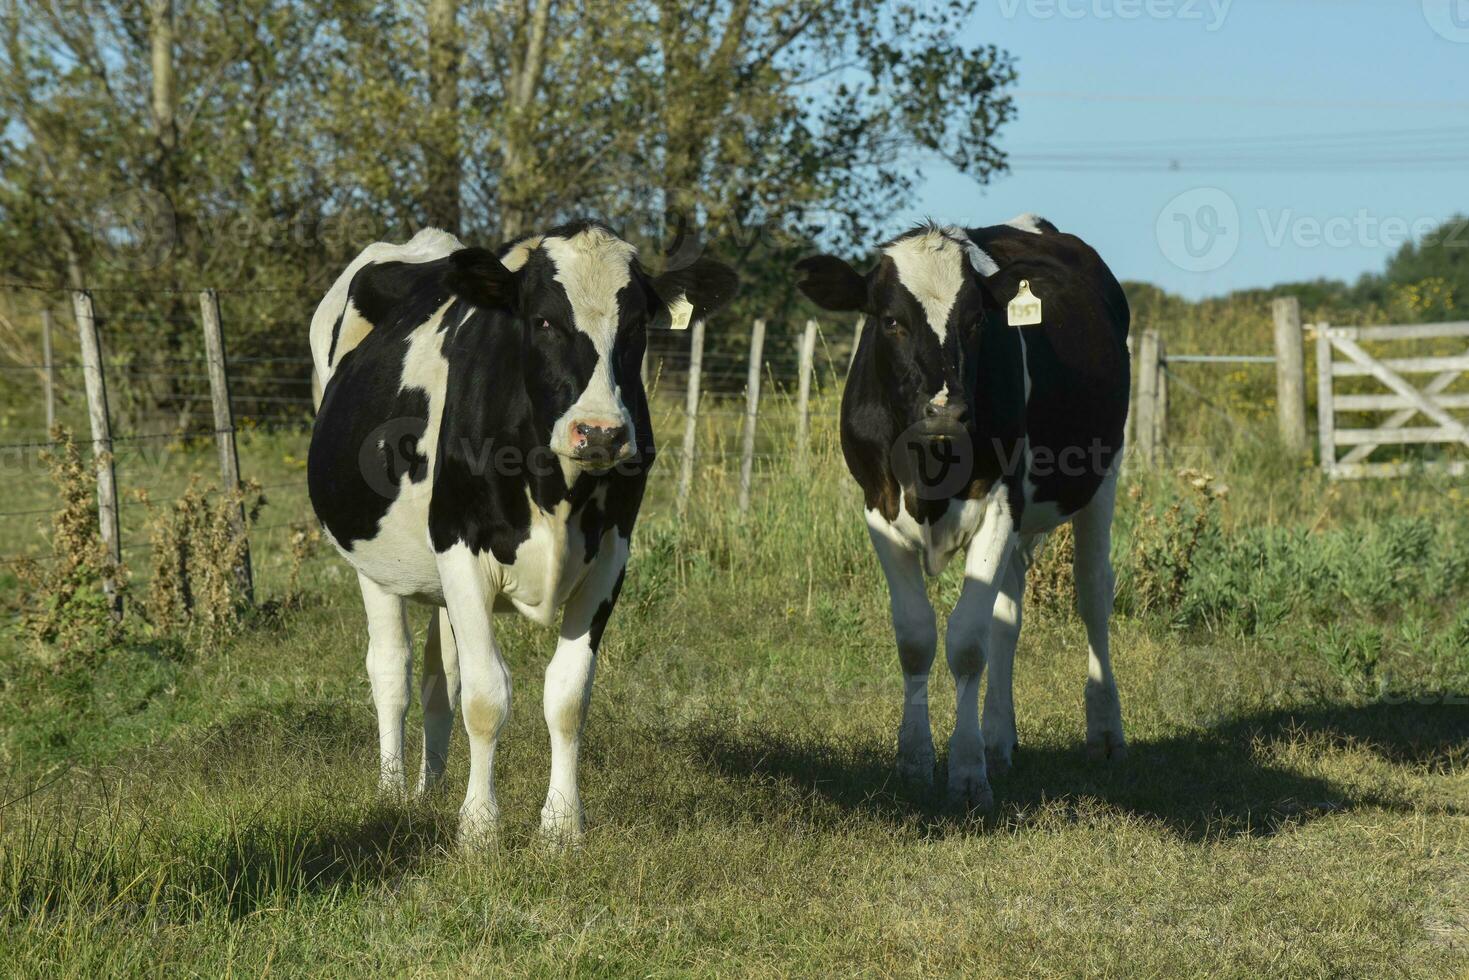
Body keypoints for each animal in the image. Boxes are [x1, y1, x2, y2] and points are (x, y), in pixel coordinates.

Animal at [311, 224, 740, 846]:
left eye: (638, 326)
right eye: (542, 321)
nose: (600, 432)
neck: (553, 486)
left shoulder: (611, 556)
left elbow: (566, 695)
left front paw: (561, 825)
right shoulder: (460, 546)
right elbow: (487, 695)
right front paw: (479, 828)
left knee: (441, 678)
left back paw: (429, 789)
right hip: (370, 554)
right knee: (391, 667)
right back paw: (393, 793)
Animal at [799, 215, 1128, 811]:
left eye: (977, 322)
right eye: (890, 320)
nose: (946, 408)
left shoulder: (1000, 504)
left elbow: (968, 643)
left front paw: (968, 773)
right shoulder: (877, 506)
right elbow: (917, 639)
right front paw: (915, 760)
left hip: (1103, 475)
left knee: (1093, 596)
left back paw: (1105, 731)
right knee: (1008, 616)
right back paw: (1000, 739)